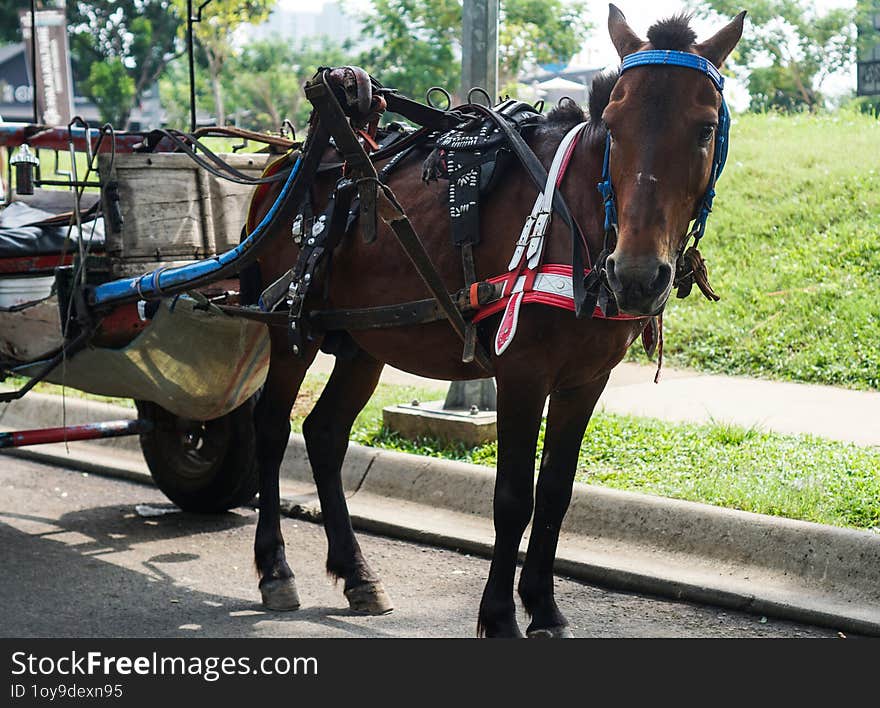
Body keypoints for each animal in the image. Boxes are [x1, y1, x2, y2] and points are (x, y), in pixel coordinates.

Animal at [248, 5, 744, 636]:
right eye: (614, 124)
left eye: (704, 128)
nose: (635, 274)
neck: (575, 217)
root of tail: (282, 164)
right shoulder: (522, 374)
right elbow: (513, 496)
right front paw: (500, 616)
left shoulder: (586, 380)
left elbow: (555, 492)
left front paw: (545, 607)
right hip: (293, 329)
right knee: (270, 428)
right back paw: (275, 567)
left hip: (364, 341)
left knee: (324, 434)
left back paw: (358, 575)